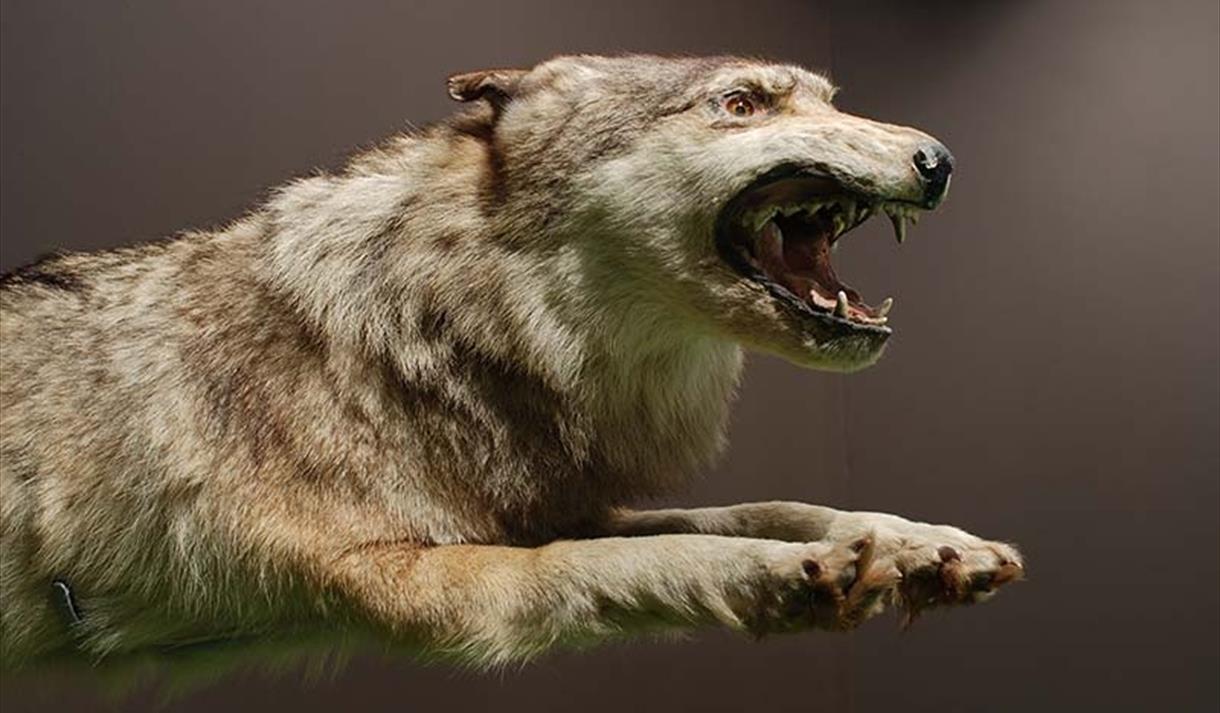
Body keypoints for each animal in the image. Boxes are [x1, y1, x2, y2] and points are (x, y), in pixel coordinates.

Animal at [0, 54, 1022, 673]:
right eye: (741, 104)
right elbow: (622, 562)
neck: (449, 319)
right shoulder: (414, 580)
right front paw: (790, 574)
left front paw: (928, 546)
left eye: (830, 98)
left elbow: (766, 508)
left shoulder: (560, 503)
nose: (939, 159)